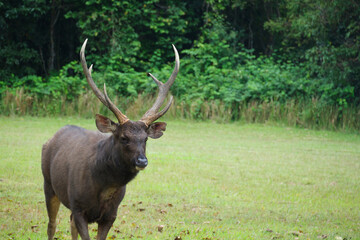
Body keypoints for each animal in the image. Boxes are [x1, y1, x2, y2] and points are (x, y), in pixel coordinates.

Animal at [41, 38, 180, 239]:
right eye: (123, 137)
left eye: (145, 139)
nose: (142, 161)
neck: (103, 188)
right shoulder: (78, 206)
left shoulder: (111, 215)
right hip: (48, 183)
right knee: (51, 225)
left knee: (69, 223)